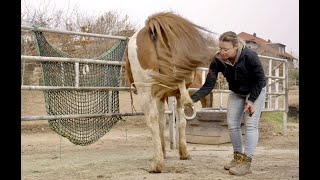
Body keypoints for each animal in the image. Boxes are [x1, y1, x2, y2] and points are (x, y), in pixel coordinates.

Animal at [125, 11, 215, 173]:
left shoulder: (157, 96)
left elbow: (159, 121)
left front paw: (162, 153)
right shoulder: (165, 96)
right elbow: (170, 121)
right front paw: (173, 152)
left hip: (145, 91)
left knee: (152, 120)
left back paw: (157, 164)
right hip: (177, 94)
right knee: (182, 119)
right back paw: (181, 154)